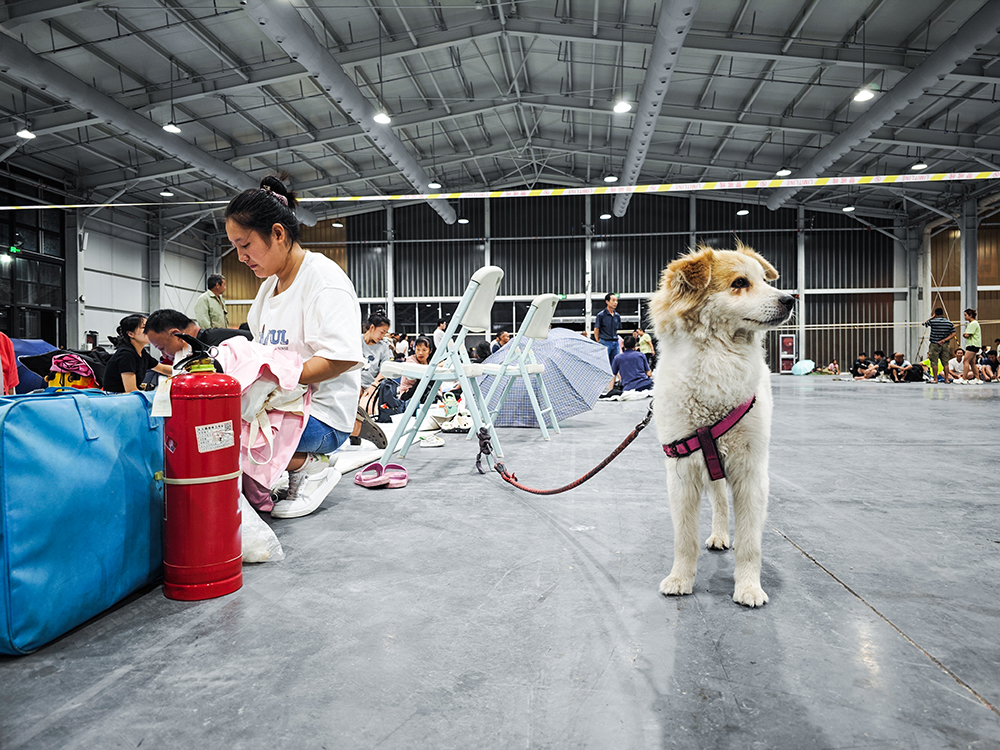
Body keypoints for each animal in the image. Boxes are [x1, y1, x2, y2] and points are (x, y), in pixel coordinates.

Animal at [648, 244, 796, 608]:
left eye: (764, 280)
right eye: (740, 283)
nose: (790, 299)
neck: (718, 356)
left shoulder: (751, 471)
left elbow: (750, 543)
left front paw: (748, 587)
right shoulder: (683, 471)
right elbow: (684, 538)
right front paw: (680, 579)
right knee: (718, 502)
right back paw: (717, 535)